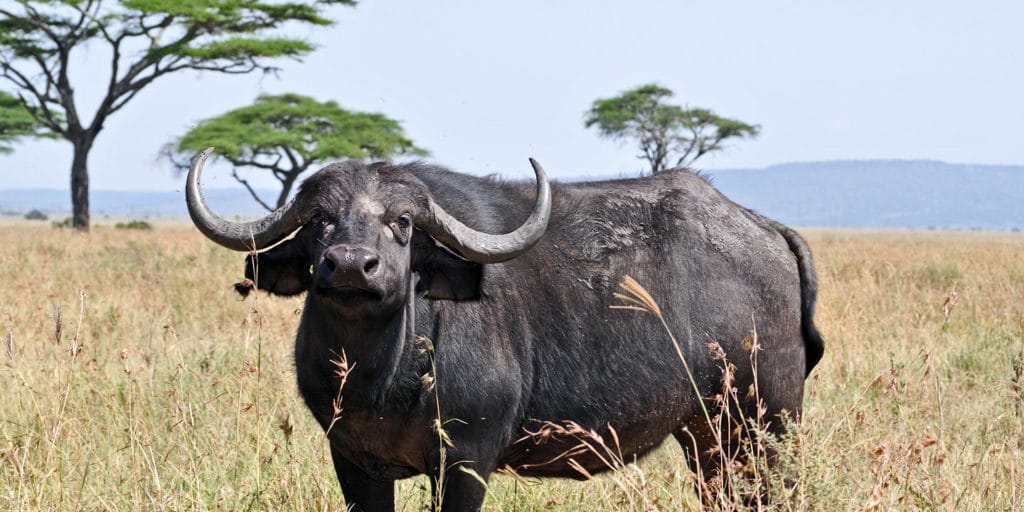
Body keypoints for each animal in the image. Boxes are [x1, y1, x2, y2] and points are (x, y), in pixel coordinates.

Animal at [184, 146, 823, 509]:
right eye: (319, 220)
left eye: (403, 223)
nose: (348, 265)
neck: (380, 378)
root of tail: (764, 228)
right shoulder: (353, 460)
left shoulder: (466, 460)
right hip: (709, 438)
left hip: (764, 426)